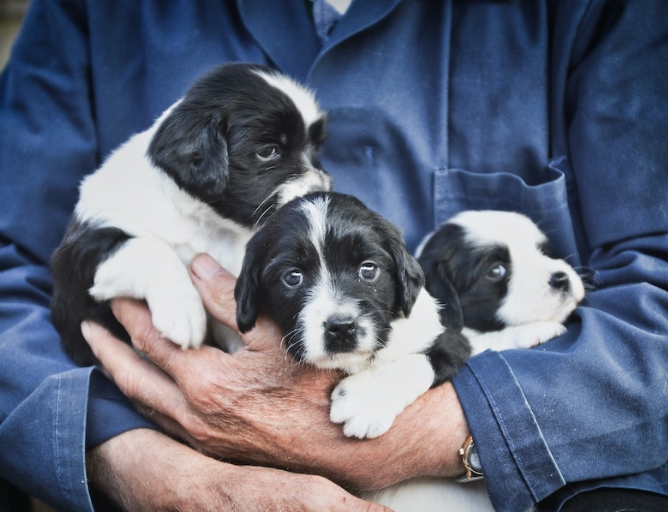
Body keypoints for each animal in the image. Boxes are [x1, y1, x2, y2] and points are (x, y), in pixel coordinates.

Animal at [51, 64, 332, 366]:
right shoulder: (77, 265)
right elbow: (151, 248)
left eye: (315, 149)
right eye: (269, 151)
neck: (204, 223)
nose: (320, 191)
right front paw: (182, 311)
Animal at [235, 192, 470, 440]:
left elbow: (418, 361)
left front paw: (364, 402)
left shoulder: (451, 339)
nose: (341, 327)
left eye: (368, 269)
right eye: (292, 277)